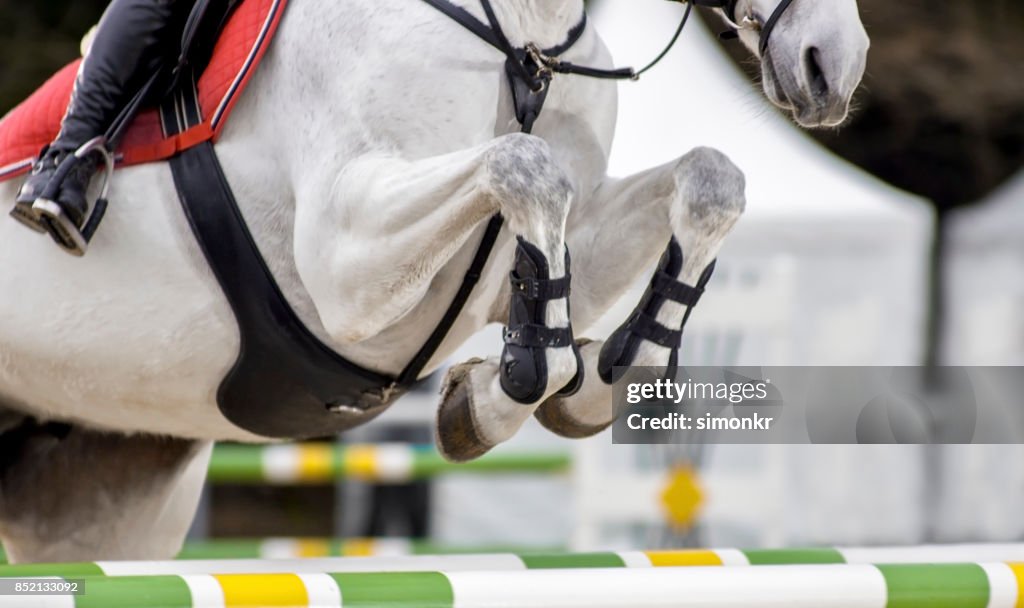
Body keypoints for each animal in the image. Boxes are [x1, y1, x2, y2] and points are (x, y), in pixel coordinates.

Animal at [0, 0, 864, 556]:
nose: (834, 62)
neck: (523, 36)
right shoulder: (344, 264)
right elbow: (526, 164)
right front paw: (513, 384)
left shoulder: (546, 258)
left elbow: (709, 178)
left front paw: (596, 381)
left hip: (108, 500)